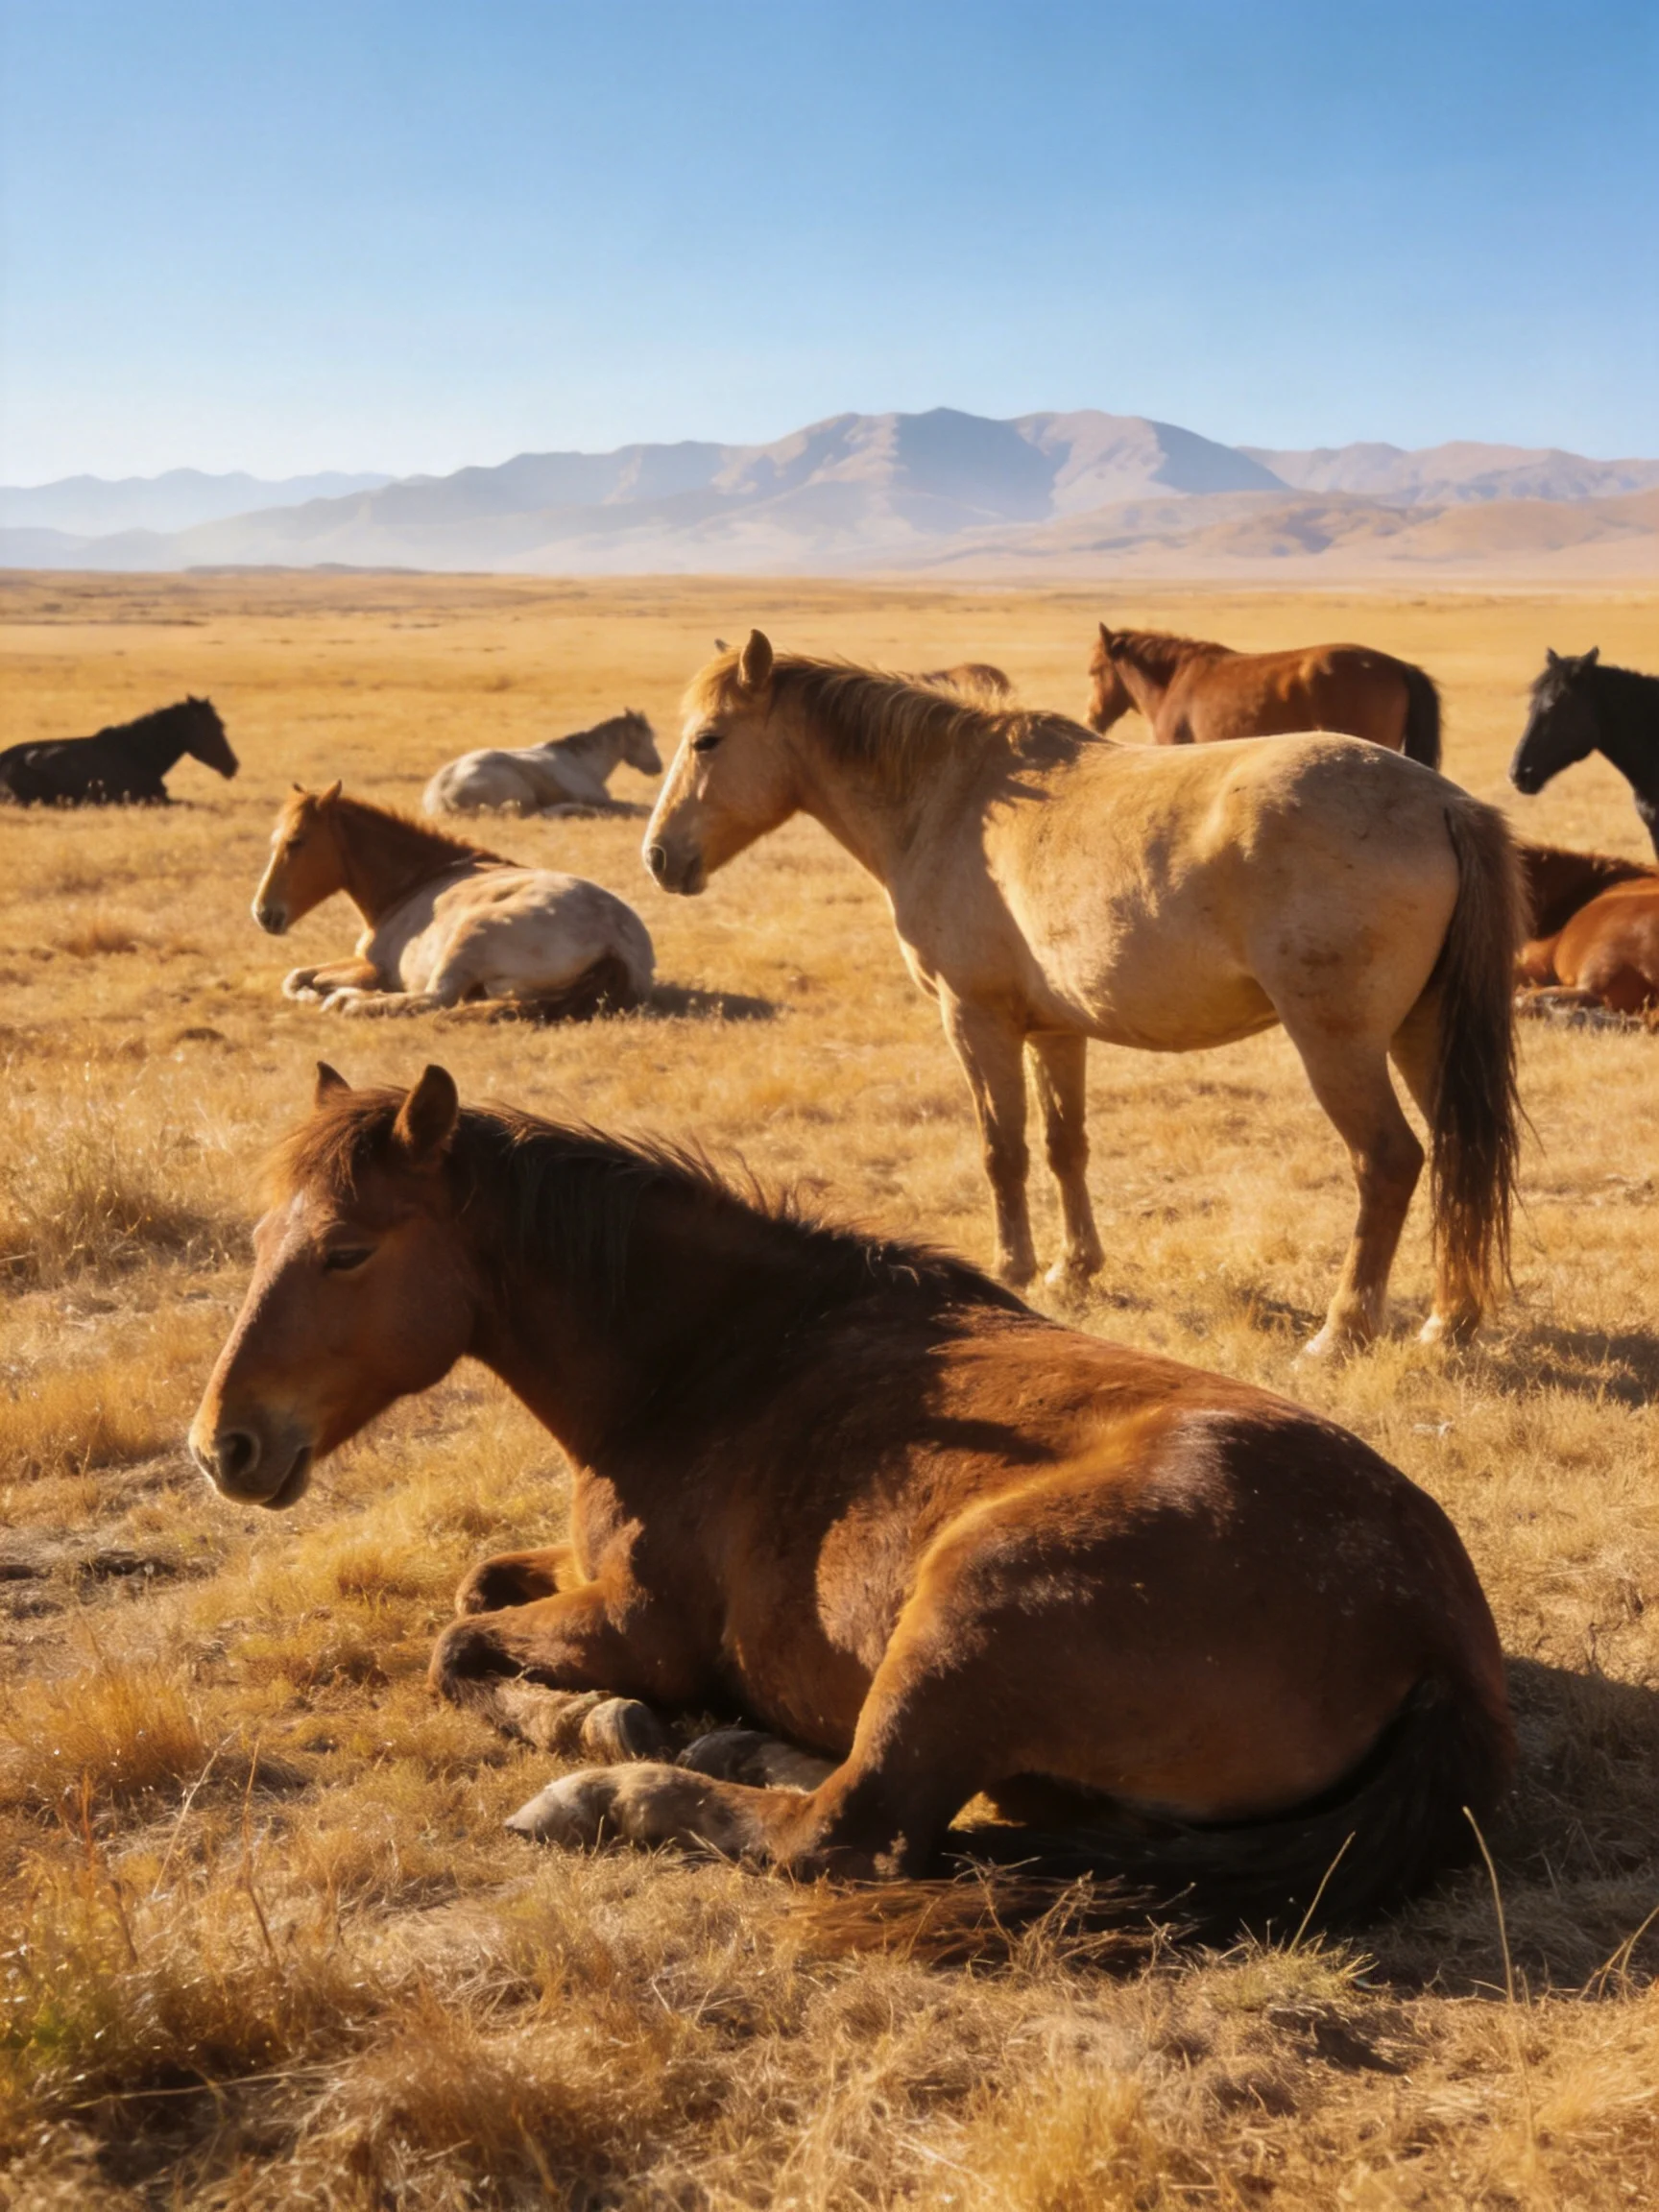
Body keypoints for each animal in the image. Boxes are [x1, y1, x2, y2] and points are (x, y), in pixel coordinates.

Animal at [188, 1063, 1513, 1937]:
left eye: (347, 1251)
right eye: (257, 1238)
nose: (221, 1446)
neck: (712, 1354)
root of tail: (1436, 1635)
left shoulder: (637, 1627)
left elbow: (456, 1647)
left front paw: (597, 1729)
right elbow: (475, 1587)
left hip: (969, 1607)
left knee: (850, 1834)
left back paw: (617, 1791)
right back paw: (741, 1744)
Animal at [253, 784, 654, 1018]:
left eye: (296, 841)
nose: (263, 914)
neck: (418, 881)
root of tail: (614, 943)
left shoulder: (372, 967)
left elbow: (310, 979)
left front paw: (326, 994)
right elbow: (297, 976)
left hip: (469, 938)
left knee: (433, 999)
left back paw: (349, 1000)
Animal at [422, 710, 662, 817]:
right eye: (645, 739)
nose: (658, 767)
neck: (580, 764)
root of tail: (440, 794)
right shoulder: (599, 799)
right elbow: (635, 806)